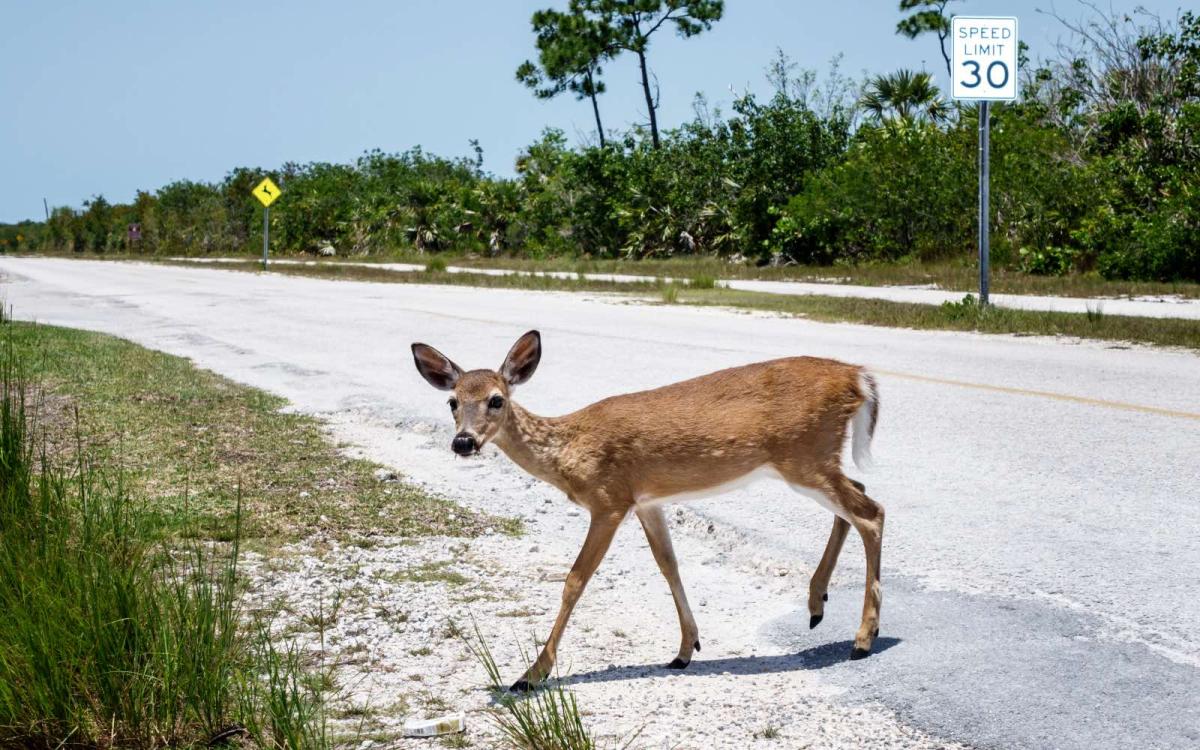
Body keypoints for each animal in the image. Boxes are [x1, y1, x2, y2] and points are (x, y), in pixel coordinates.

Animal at [412, 326, 883, 691]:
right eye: (452, 401)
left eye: (496, 399)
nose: (463, 442)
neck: (569, 452)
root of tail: (858, 377)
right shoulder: (647, 502)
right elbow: (668, 564)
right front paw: (685, 649)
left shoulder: (608, 500)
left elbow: (575, 580)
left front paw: (531, 674)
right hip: (813, 460)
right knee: (858, 497)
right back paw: (817, 604)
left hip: (804, 455)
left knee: (870, 511)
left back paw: (863, 638)